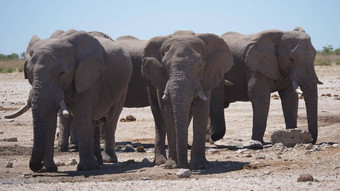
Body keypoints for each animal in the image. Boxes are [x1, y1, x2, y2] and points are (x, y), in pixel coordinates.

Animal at [5, 29, 133, 172]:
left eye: (62, 73)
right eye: (29, 73)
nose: (37, 166)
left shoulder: (89, 76)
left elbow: (82, 115)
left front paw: (86, 168)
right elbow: (50, 119)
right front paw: (49, 169)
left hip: (123, 88)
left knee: (110, 121)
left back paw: (108, 160)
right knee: (94, 122)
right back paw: (98, 161)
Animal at [141, 29, 234, 169]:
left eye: (199, 65)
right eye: (165, 67)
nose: (183, 166)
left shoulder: (206, 76)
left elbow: (201, 110)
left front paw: (200, 166)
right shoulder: (161, 77)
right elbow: (168, 112)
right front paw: (172, 165)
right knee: (159, 118)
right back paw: (161, 162)